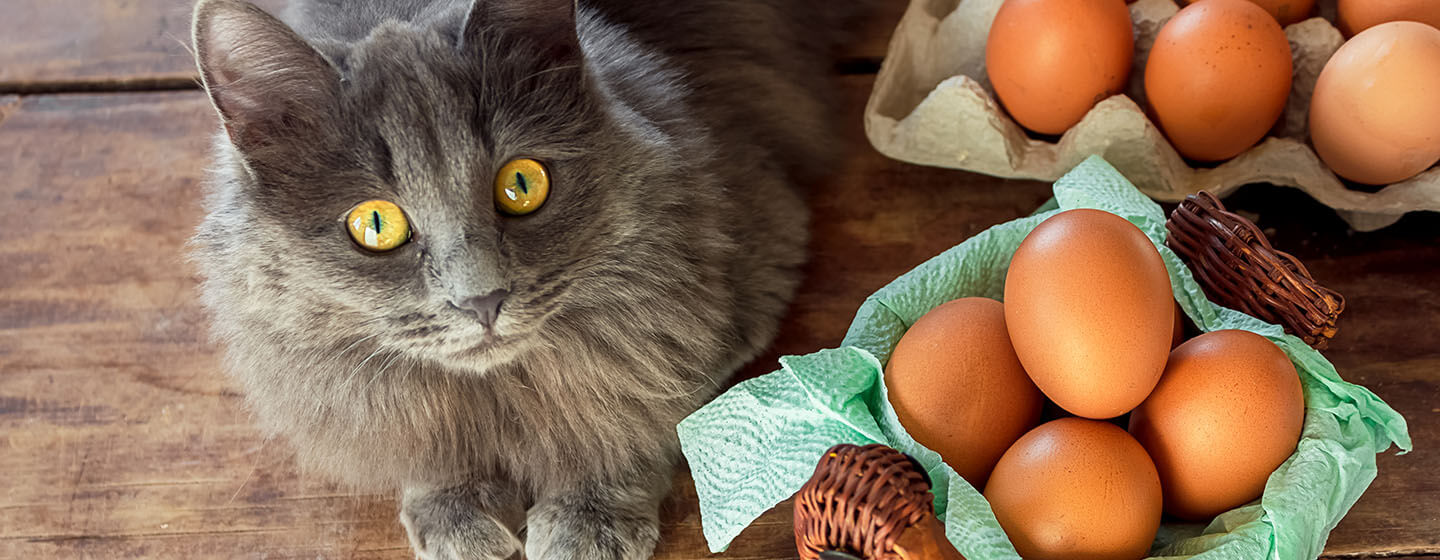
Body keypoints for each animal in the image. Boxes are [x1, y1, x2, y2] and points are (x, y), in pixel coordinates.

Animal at [188, 0, 852, 555]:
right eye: (374, 224)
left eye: (523, 184)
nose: (482, 299)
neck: (498, 391)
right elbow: (422, 433)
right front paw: (454, 511)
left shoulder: (750, 266)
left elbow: (642, 402)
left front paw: (590, 517)